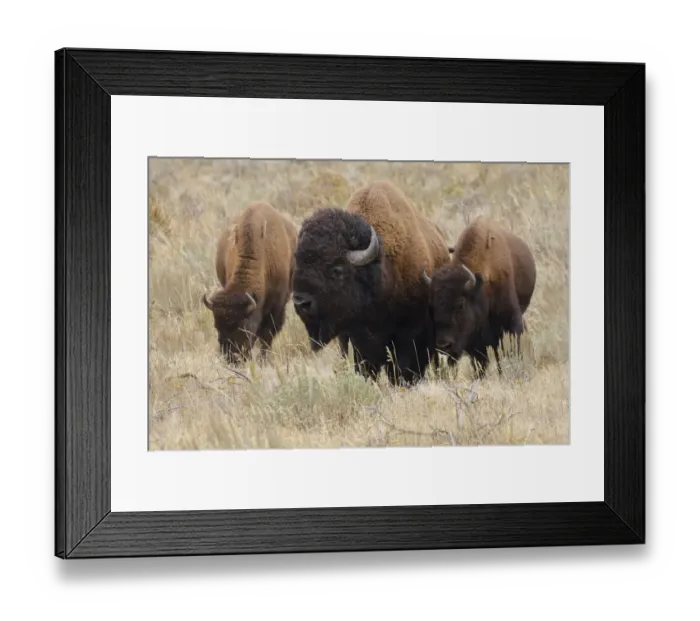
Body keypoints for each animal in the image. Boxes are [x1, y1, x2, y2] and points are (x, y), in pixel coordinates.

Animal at [202, 201, 297, 364]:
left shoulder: (277, 305)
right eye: (217, 326)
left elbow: (268, 334)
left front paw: (263, 360)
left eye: (243, 327)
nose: (231, 358)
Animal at [292, 180, 451, 385]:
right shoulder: (358, 339)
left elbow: (404, 367)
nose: (301, 303)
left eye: (337, 269)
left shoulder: (410, 335)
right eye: (297, 262)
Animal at [422, 215, 536, 377]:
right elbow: (480, 363)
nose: (444, 345)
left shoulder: (511, 322)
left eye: (460, 305)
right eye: (432, 307)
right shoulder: (475, 342)